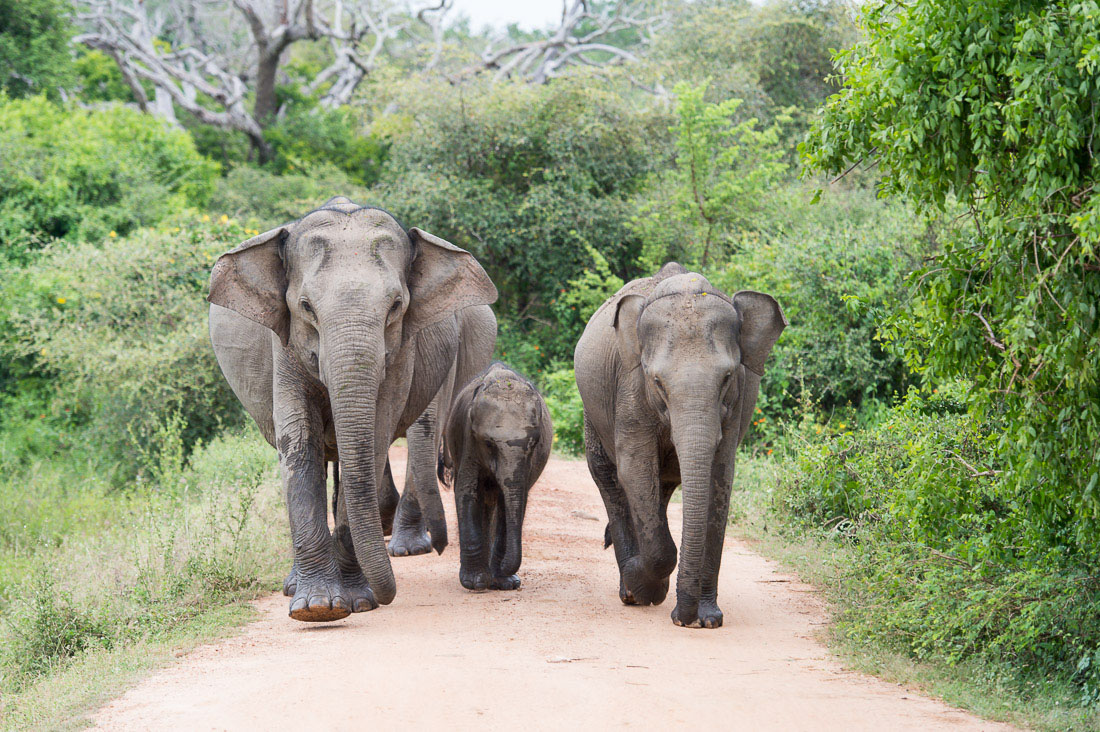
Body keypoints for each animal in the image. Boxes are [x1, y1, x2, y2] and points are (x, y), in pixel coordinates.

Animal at [206, 197, 499, 620]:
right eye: (306, 307)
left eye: (396, 306)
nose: (443, 548)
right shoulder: (285, 345)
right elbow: (299, 443)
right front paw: (316, 609)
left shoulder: (403, 353)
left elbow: (374, 437)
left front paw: (358, 602)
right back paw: (294, 585)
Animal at [442, 363, 554, 590]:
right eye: (488, 443)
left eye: (534, 444)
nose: (506, 569)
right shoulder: (469, 439)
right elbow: (467, 492)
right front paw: (475, 583)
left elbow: (510, 502)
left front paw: (505, 582)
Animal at [572, 263, 787, 629]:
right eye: (658, 382)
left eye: (727, 378)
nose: (683, 619)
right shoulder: (630, 386)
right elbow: (636, 469)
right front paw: (642, 583)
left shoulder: (737, 401)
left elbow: (720, 477)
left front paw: (708, 619)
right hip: (593, 411)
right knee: (609, 478)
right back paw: (630, 590)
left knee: (660, 489)